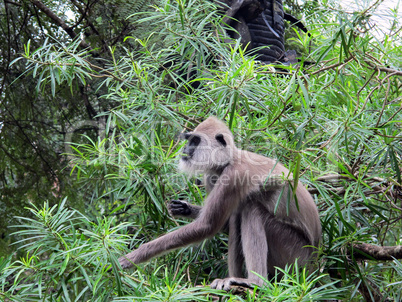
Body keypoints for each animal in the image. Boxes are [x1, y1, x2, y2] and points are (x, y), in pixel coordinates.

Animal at [118, 116, 322, 290]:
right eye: (189, 140)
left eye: (195, 141)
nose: (184, 150)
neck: (229, 161)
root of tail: (316, 260)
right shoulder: (211, 176)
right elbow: (220, 224)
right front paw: (184, 209)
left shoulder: (233, 176)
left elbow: (207, 226)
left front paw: (132, 257)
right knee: (236, 217)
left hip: (295, 255)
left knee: (251, 210)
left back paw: (256, 282)